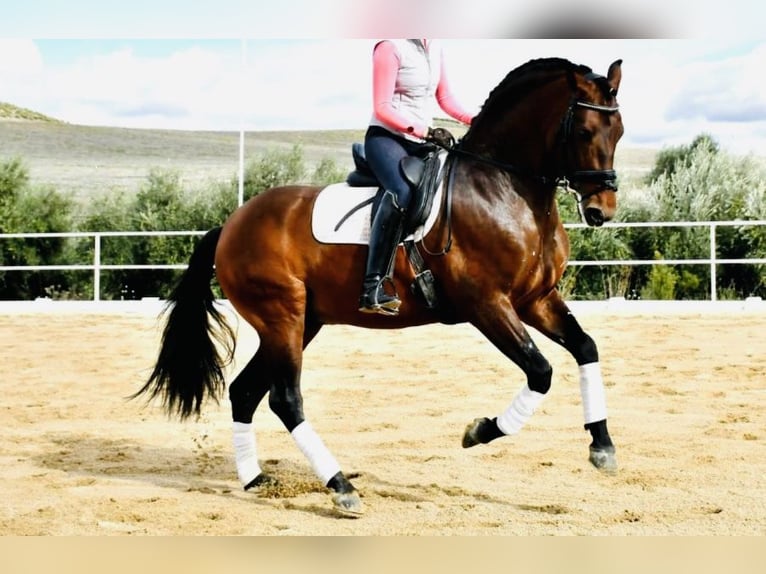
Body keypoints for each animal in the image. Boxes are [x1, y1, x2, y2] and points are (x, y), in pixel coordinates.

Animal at [136, 57, 624, 517]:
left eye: (618, 130)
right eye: (584, 130)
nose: (602, 210)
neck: (504, 188)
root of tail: (232, 224)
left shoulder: (535, 299)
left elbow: (585, 347)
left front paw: (601, 446)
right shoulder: (487, 304)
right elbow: (540, 372)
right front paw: (479, 431)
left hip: (301, 323)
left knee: (245, 392)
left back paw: (255, 479)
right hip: (282, 317)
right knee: (285, 399)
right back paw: (341, 489)